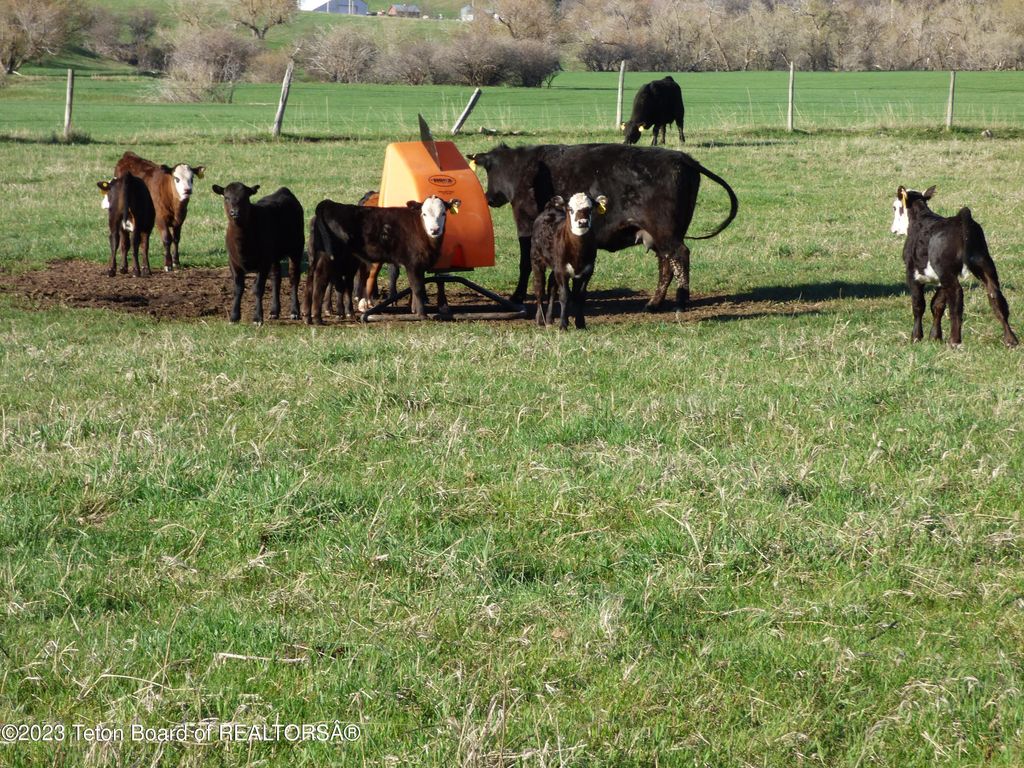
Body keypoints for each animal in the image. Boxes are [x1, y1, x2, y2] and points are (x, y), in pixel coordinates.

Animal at [212, 182, 304, 325]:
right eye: (226, 197)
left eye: (245, 197)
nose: (235, 212)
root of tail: (283, 190)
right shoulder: (233, 262)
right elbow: (237, 289)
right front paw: (234, 316)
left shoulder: (263, 262)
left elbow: (258, 288)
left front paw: (257, 318)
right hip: (274, 254)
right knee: (276, 277)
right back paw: (274, 311)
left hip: (296, 248)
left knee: (294, 277)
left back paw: (294, 311)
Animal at [304, 195, 460, 324]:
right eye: (424, 213)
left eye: (443, 213)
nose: (435, 230)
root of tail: (329, 204)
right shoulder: (412, 263)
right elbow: (417, 288)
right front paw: (422, 315)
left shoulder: (420, 265)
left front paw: (415, 310)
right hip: (329, 257)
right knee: (320, 278)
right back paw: (317, 318)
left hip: (327, 256)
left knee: (314, 278)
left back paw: (311, 316)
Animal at [468, 142, 738, 310]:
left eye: (489, 172)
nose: (489, 198)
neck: (524, 168)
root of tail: (684, 158)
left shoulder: (525, 226)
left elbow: (525, 264)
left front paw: (518, 296)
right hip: (660, 236)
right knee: (667, 264)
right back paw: (654, 304)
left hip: (666, 233)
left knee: (680, 257)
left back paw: (680, 302)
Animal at [531, 192, 607, 330]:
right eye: (570, 209)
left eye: (590, 209)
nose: (583, 222)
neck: (577, 250)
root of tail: (550, 210)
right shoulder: (561, 270)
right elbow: (564, 295)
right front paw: (563, 325)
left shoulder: (587, 270)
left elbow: (580, 296)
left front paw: (580, 324)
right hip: (536, 259)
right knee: (539, 287)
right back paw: (540, 320)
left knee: (551, 286)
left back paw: (549, 319)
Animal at [891, 185, 1018, 347]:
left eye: (895, 207)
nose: (893, 229)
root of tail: (960, 218)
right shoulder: (939, 280)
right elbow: (937, 305)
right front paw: (935, 337)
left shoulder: (912, 274)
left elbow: (919, 305)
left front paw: (916, 337)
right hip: (984, 263)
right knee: (995, 296)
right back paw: (1010, 340)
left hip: (947, 271)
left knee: (957, 295)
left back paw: (954, 341)